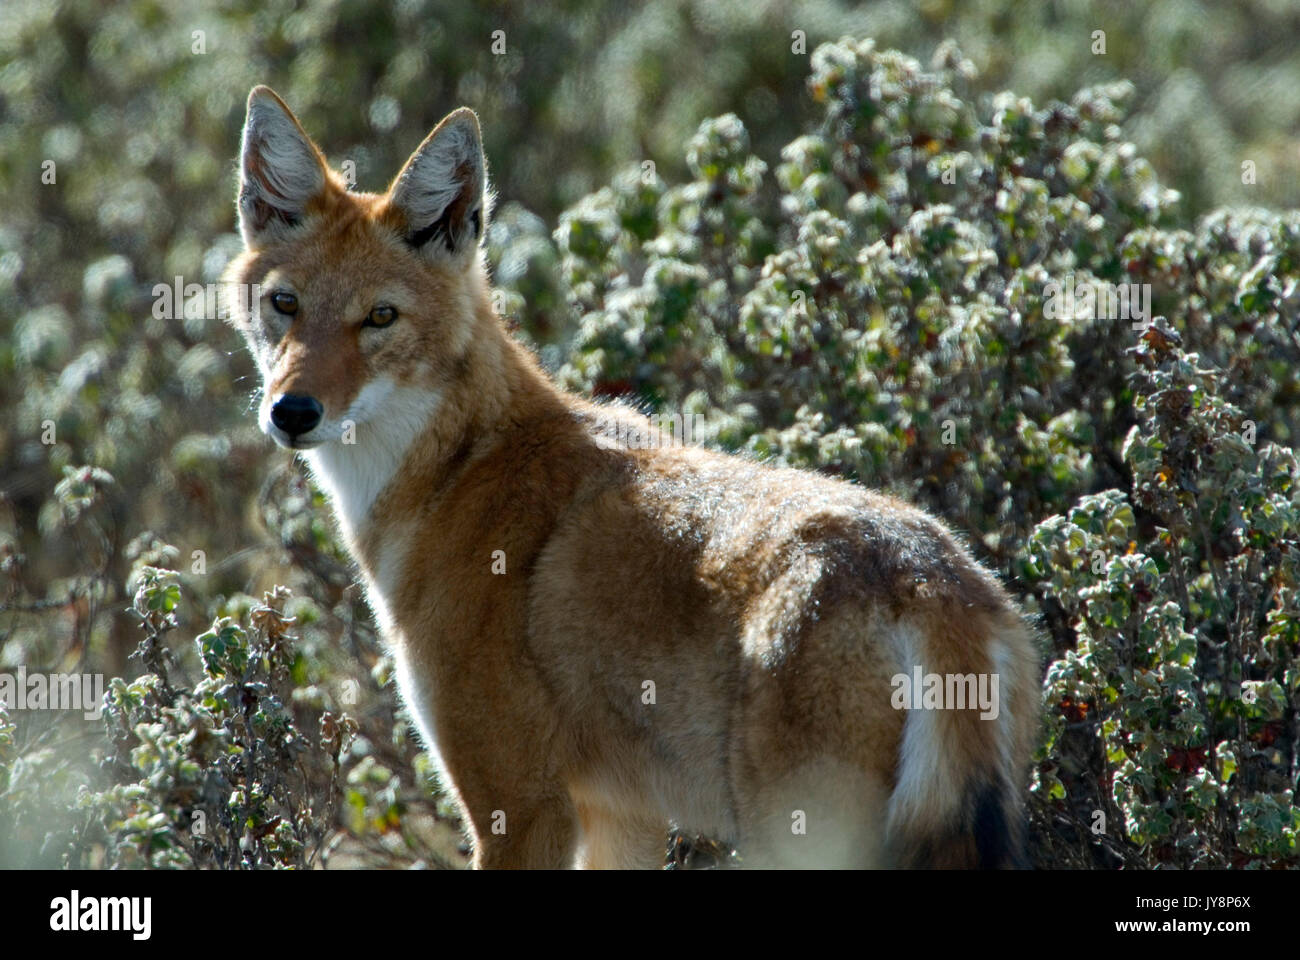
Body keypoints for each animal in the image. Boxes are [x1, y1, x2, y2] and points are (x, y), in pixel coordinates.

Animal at [222, 85, 1041, 869]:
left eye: (380, 318)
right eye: (285, 305)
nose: (291, 412)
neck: (458, 471)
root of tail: (928, 579)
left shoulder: (521, 812)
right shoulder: (622, 816)